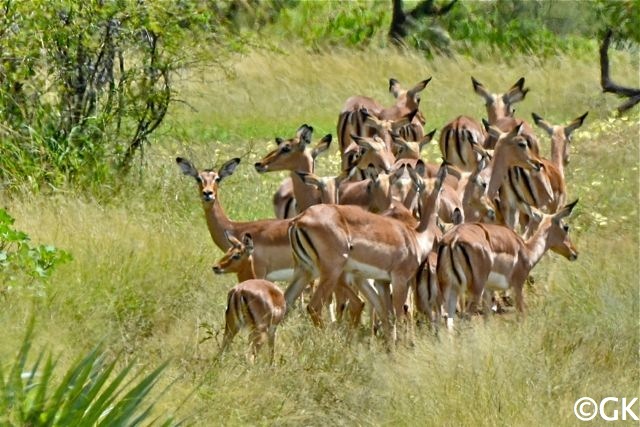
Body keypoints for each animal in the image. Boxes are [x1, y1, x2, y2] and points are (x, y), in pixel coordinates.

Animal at [212, 232, 284, 362]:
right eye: (228, 251)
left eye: (235, 254)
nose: (216, 267)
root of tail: (238, 291)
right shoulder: (273, 330)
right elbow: (271, 352)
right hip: (259, 333)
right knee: (250, 357)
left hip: (231, 328)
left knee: (221, 352)